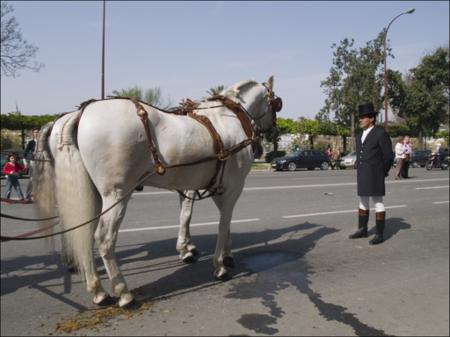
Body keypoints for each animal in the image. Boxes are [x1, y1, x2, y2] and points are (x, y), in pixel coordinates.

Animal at [33, 77, 282, 308]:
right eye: (276, 103)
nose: (272, 135)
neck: (228, 118)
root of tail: (80, 113)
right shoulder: (231, 188)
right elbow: (221, 224)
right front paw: (219, 263)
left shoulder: (205, 186)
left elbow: (201, 219)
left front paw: (211, 252)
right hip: (116, 195)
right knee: (103, 239)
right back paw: (123, 292)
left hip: (90, 194)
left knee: (83, 231)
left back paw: (97, 289)